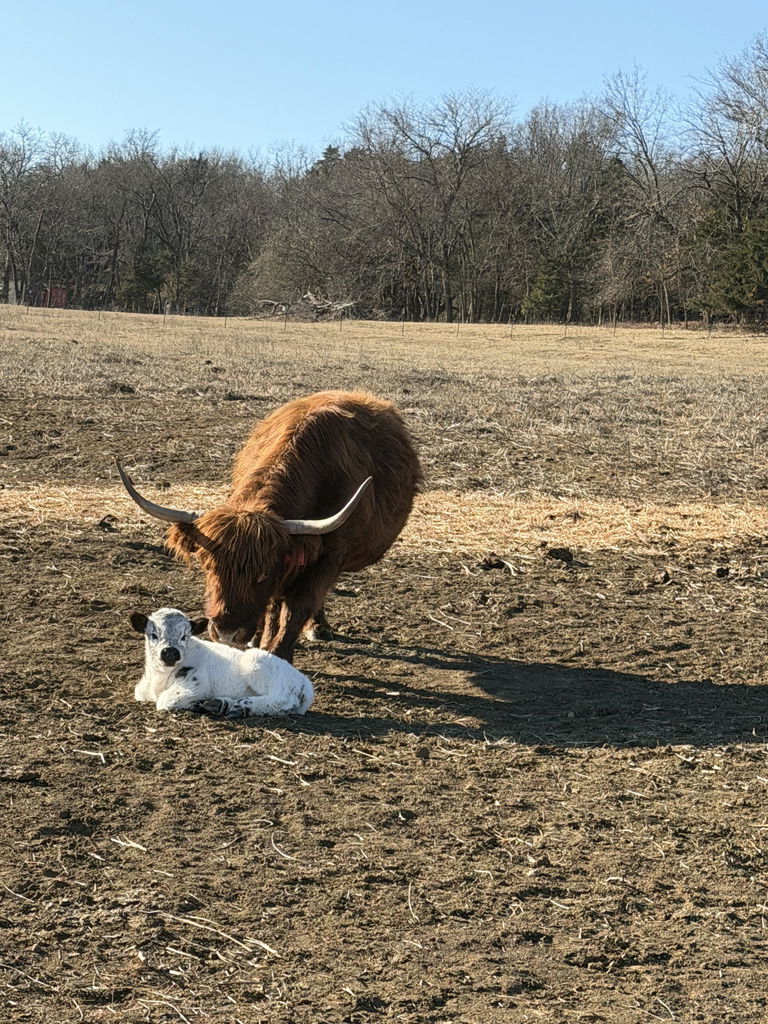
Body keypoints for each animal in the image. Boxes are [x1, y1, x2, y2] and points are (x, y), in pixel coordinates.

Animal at [117, 390, 421, 662]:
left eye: (262, 572)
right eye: (208, 566)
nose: (227, 633)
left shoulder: (328, 558)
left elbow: (298, 608)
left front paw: (279, 654)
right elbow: (274, 606)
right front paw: (258, 640)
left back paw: (317, 628)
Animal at [131, 607, 314, 717]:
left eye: (184, 636)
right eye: (153, 635)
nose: (170, 651)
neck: (159, 677)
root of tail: (306, 683)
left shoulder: (197, 682)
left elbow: (165, 700)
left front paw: (196, 703)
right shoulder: (141, 691)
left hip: (256, 662)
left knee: (281, 699)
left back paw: (240, 706)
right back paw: (222, 705)